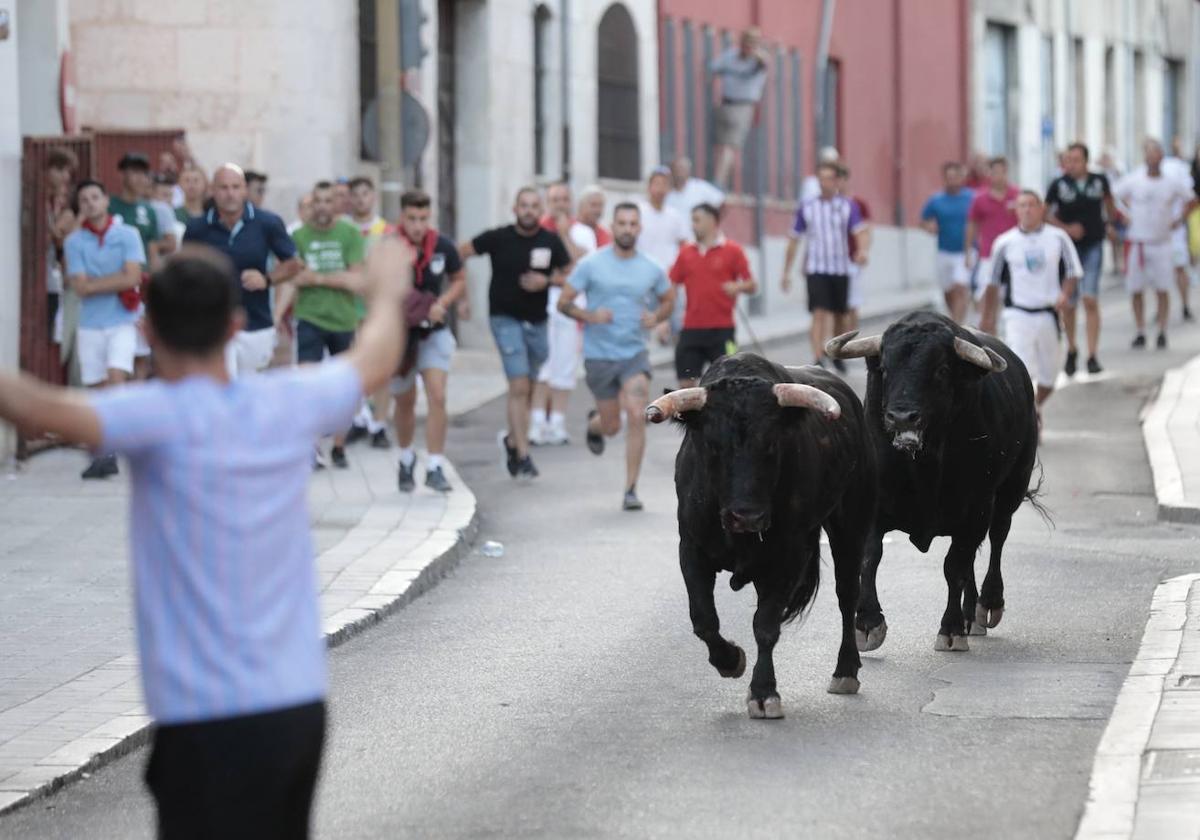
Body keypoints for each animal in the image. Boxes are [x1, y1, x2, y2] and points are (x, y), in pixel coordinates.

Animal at [648, 350, 883, 720]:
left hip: (851, 526)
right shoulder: (692, 550)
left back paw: (845, 671)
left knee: (847, 595)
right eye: (712, 445)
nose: (747, 516)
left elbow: (766, 624)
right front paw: (730, 661)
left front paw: (763, 692)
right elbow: (704, 619)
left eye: (771, 444)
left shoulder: (788, 556)